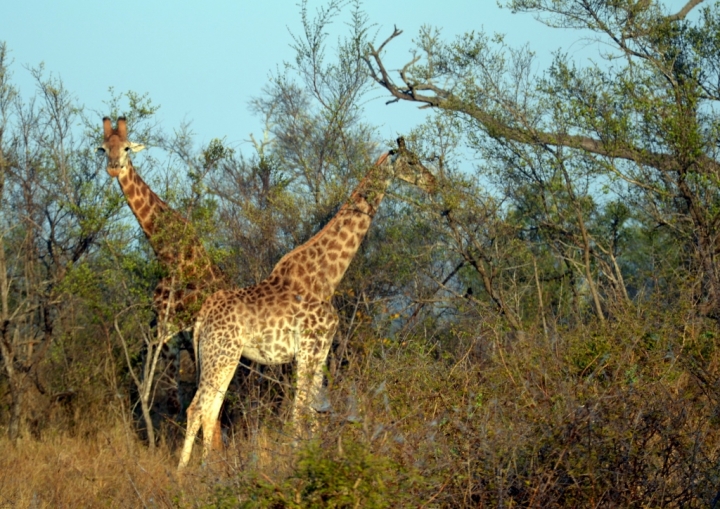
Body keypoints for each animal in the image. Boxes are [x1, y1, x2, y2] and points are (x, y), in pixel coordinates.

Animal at [97, 119, 224, 412]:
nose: (113, 167)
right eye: (103, 148)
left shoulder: (171, 333)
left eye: (127, 147)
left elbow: (174, 398)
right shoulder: (164, 332)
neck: (165, 252)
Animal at [179, 136, 438, 468]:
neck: (327, 277)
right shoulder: (308, 348)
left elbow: (313, 408)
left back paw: (206, 469)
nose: (433, 183)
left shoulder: (322, 350)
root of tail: (202, 317)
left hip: (222, 357)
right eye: (412, 162)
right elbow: (299, 410)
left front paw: (312, 455)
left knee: (210, 410)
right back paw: (188, 472)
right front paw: (295, 461)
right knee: (198, 408)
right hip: (221, 355)